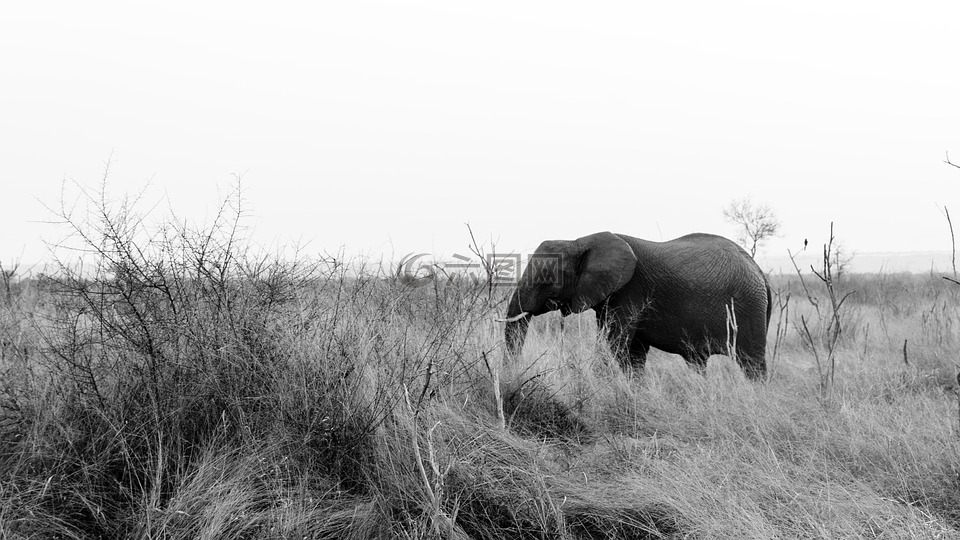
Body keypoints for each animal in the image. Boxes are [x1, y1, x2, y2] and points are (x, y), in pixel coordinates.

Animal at [502, 232, 772, 380]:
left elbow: (616, 344)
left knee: (752, 365)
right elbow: (634, 352)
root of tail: (760, 271)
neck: (579, 241)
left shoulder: (630, 292)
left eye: (546, 280)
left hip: (749, 307)